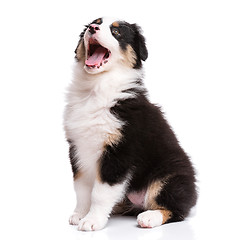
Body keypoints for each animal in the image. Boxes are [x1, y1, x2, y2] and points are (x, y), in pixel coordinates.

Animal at [63, 16, 197, 231]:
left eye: (116, 32)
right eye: (95, 22)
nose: (92, 28)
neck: (96, 89)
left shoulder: (120, 152)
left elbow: (100, 192)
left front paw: (92, 220)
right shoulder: (77, 148)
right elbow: (82, 188)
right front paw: (80, 214)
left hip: (170, 176)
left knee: (177, 210)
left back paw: (149, 217)